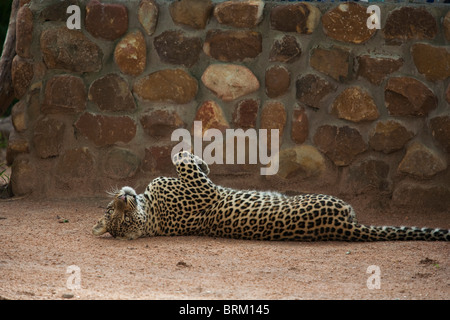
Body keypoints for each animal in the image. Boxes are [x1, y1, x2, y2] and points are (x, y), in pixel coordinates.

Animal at [92, 151, 450, 241]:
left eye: (113, 212)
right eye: (122, 216)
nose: (122, 198)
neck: (153, 215)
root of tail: (347, 229)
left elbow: (187, 161)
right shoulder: (199, 187)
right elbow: (183, 159)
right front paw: (192, 154)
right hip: (335, 203)